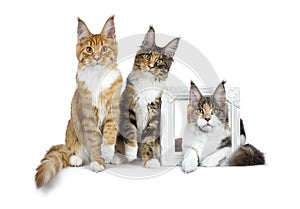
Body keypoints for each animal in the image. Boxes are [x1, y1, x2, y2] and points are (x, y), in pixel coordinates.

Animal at [35, 16, 123, 188]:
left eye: (104, 49)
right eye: (89, 49)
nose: (96, 58)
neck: (98, 76)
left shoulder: (113, 109)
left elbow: (109, 134)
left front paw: (108, 152)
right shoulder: (87, 114)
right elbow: (94, 139)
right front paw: (98, 162)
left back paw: (115, 156)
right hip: (71, 126)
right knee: (71, 149)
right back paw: (76, 158)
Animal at [112, 26, 178, 168]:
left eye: (159, 61)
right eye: (147, 56)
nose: (151, 66)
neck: (146, 82)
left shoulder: (154, 114)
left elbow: (148, 140)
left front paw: (150, 160)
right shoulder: (127, 107)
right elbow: (130, 130)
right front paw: (131, 152)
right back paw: (119, 157)